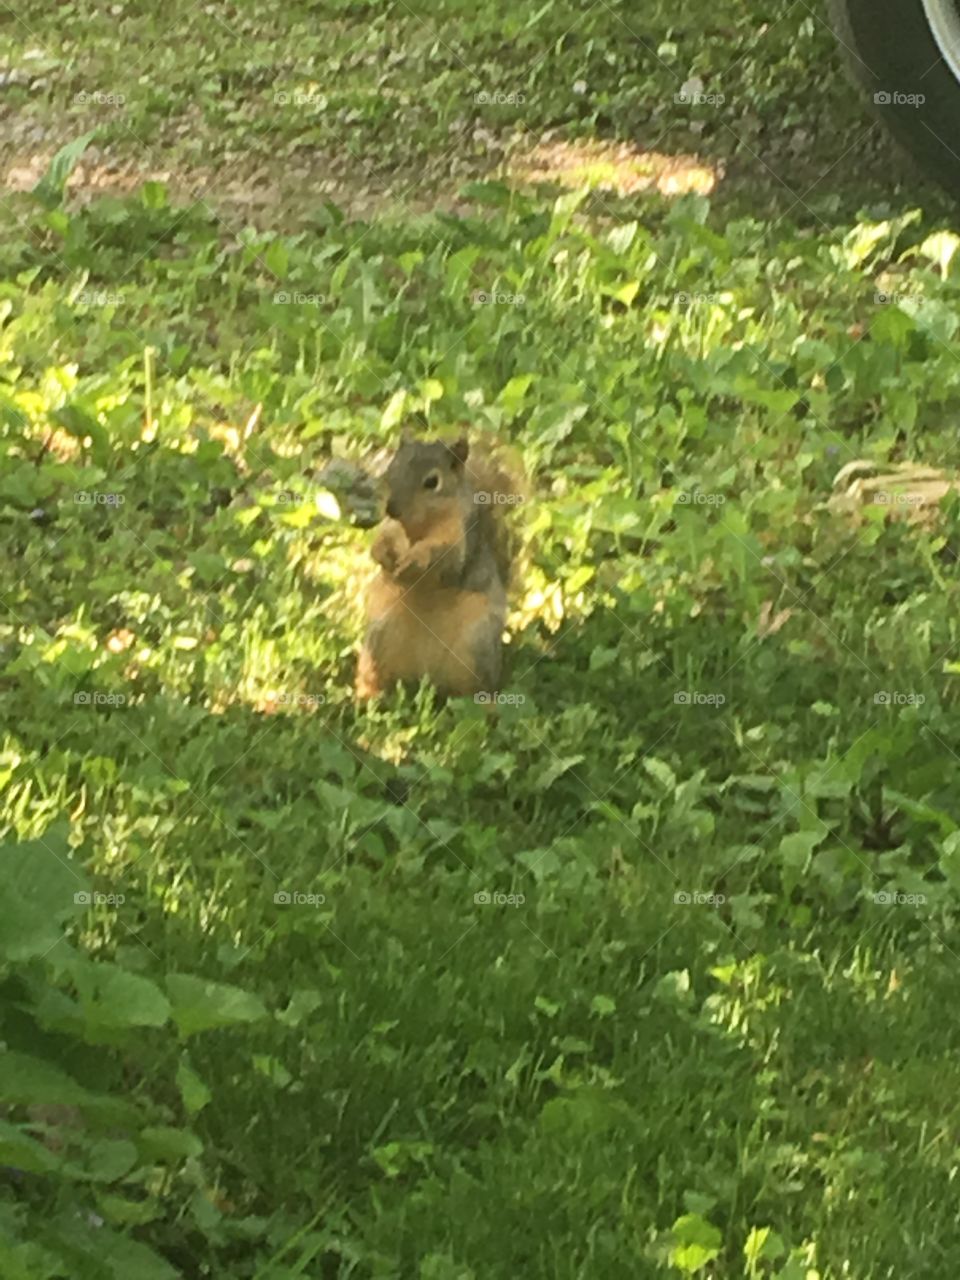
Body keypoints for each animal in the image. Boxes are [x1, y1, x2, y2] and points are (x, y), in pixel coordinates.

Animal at [355, 432, 521, 700]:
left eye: (432, 482)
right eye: (391, 468)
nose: (391, 508)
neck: (417, 528)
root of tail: (424, 674)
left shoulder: (458, 539)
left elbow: (445, 558)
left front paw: (415, 559)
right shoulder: (392, 529)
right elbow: (382, 542)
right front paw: (383, 555)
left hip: (477, 646)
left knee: (479, 691)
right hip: (378, 641)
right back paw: (366, 697)